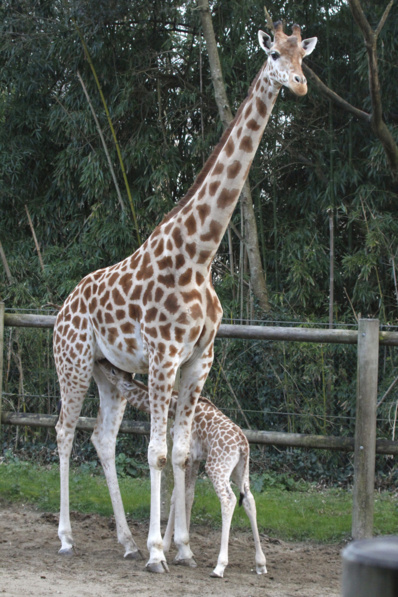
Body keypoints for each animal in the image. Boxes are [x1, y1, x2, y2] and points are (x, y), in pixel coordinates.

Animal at [97, 358, 266, 576]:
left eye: (113, 371)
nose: (101, 362)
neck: (173, 406)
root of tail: (242, 444)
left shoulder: (191, 455)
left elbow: (180, 495)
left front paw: (172, 548)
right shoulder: (195, 458)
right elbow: (185, 496)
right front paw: (178, 550)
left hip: (216, 466)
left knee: (228, 500)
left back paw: (219, 566)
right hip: (240, 470)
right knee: (249, 499)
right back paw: (261, 563)